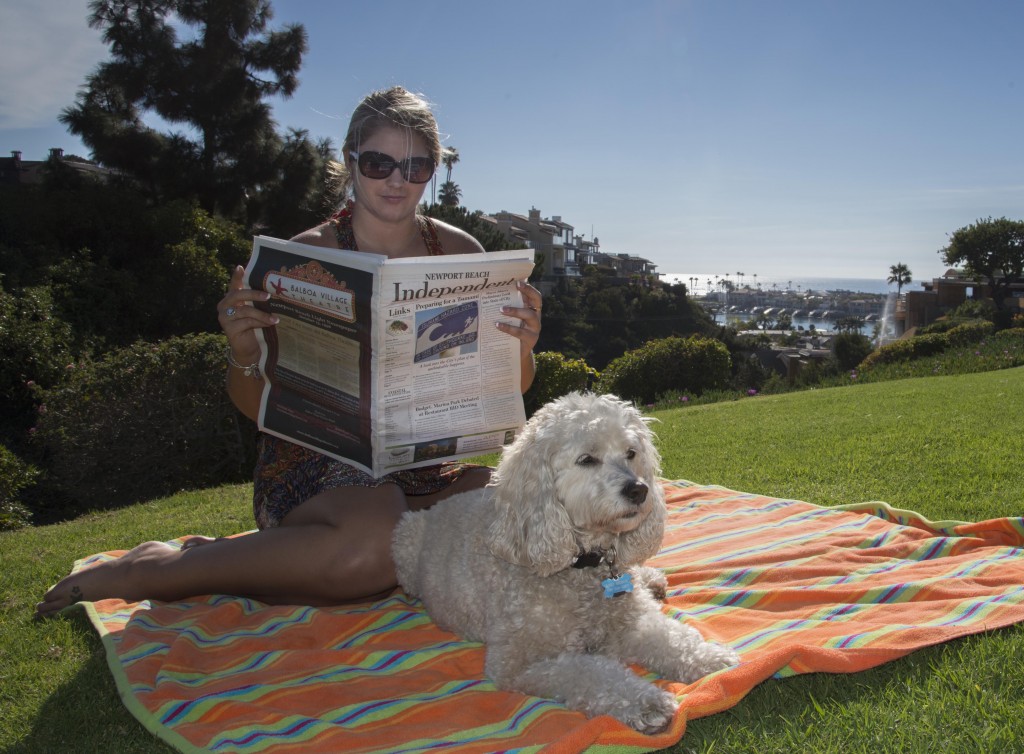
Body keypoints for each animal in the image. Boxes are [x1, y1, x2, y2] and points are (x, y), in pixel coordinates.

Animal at [389, 391, 737, 733]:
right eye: (586, 460)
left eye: (631, 453)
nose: (639, 490)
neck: (582, 564)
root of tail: (434, 505)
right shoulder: (521, 661)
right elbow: (590, 672)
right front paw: (646, 702)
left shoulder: (630, 620)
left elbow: (671, 638)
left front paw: (711, 658)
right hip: (403, 538)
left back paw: (651, 580)